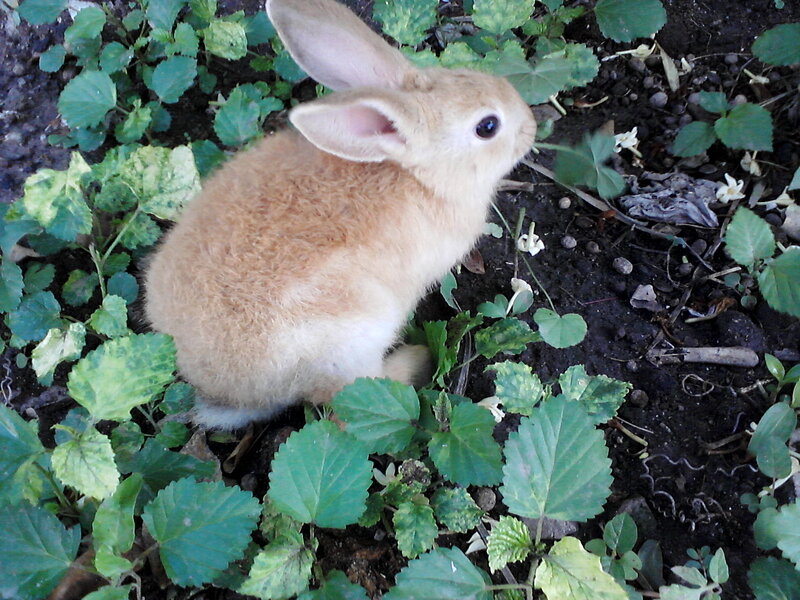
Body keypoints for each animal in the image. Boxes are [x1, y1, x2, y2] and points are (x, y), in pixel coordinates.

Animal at [143, 0, 538, 429]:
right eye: (488, 126)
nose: (532, 126)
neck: (415, 173)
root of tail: (231, 393)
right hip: (353, 338)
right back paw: (417, 359)